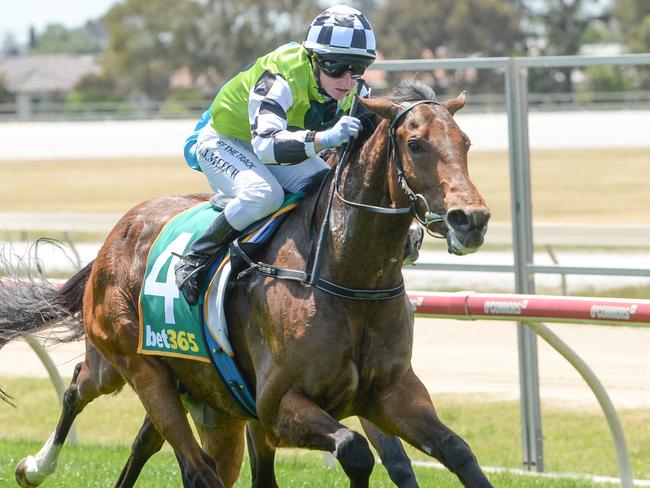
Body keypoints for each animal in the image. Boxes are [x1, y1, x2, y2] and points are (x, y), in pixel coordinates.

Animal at [0, 82, 486, 486]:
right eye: (415, 144)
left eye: (465, 143)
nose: (472, 219)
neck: (345, 276)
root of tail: (113, 237)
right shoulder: (275, 407)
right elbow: (355, 450)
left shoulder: (391, 395)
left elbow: (458, 452)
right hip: (134, 366)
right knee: (151, 437)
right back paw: (35, 467)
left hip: (203, 397)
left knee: (139, 433)